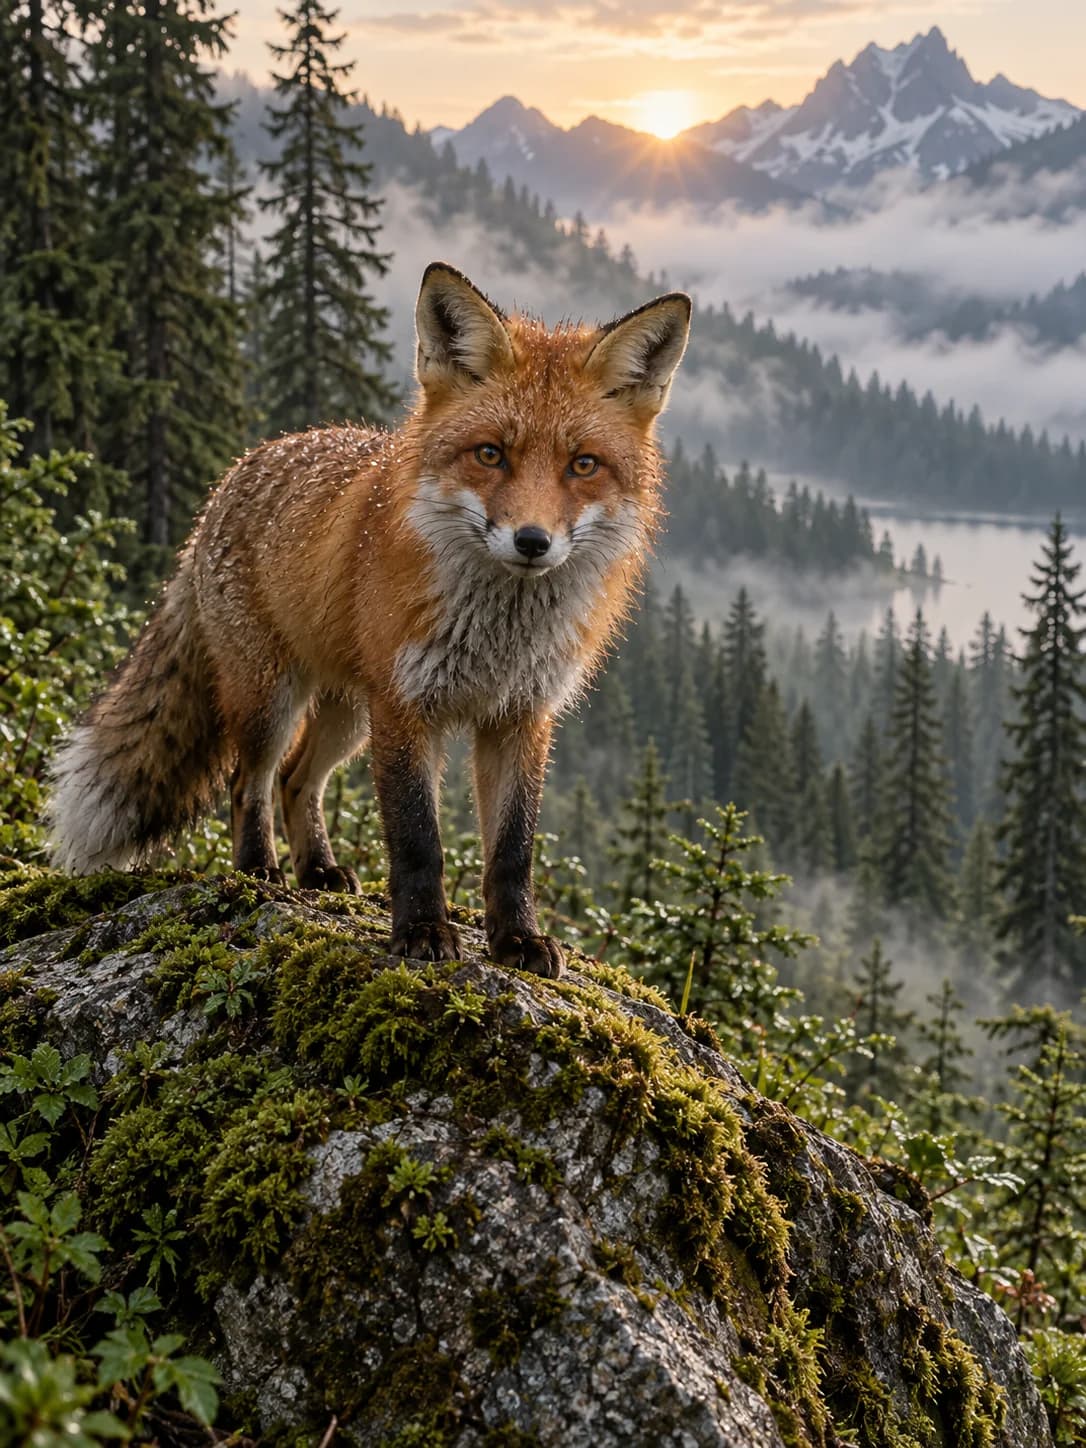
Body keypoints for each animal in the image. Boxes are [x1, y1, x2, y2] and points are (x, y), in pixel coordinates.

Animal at [47, 263, 691, 977]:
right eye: (490, 454)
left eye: (583, 465)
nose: (532, 541)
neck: (497, 635)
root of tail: (237, 473)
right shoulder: (406, 708)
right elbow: (417, 839)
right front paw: (422, 933)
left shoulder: (520, 716)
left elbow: (512, 851)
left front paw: (517, 939)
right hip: (274, 699)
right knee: (250, 781)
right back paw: (259, 871)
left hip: (349, 716)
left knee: (297, 780)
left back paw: (319, 872)